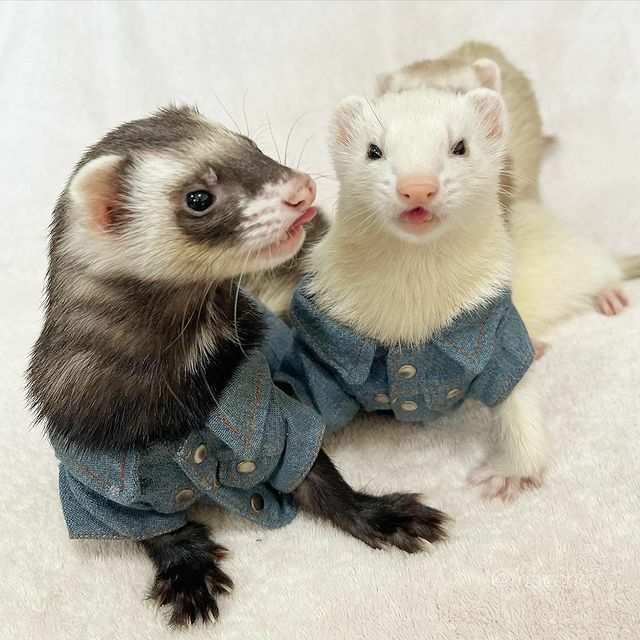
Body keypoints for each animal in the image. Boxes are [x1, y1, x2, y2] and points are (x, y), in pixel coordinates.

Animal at [26, 106, 448, 626]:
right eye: (198, 197)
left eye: (249, 143)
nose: (300, 190)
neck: (179, 402)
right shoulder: (93, 468)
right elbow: (152, 528)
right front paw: (189, 576)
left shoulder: (269, 411)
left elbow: (317, 474)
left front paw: (385, 516)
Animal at [285, 87, 548, 501]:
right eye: (374, 150)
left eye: (460, 146)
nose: (418, 186)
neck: (412, 309)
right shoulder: (324, 350)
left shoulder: (494, 331)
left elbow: (519, 396)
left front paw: (508, 474)